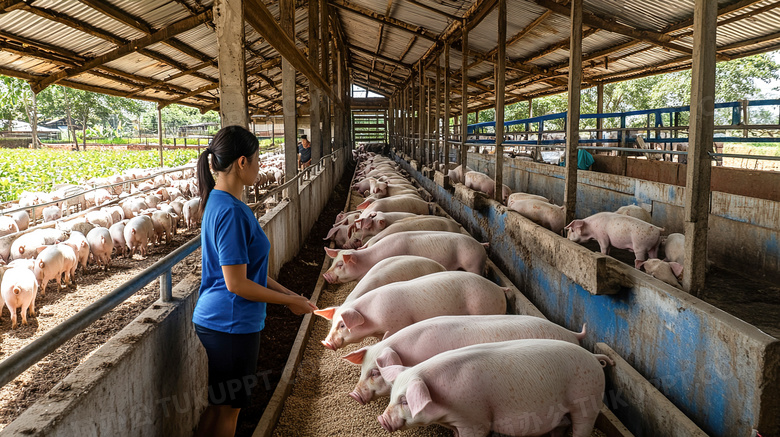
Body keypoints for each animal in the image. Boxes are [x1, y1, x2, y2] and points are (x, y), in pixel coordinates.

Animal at [314, 270, 508, 350]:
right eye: (333, 323)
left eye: (342, 325)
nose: (325, 342)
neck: (373, 319)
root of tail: (499, 289)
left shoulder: (397, 324)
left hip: (485, 305)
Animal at [380, 338, 612, 436]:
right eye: (392, 397)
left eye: (405, 400)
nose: (381, 419)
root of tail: (594, 357)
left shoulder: (475, 420)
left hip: (587, 399)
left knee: (582, 426)